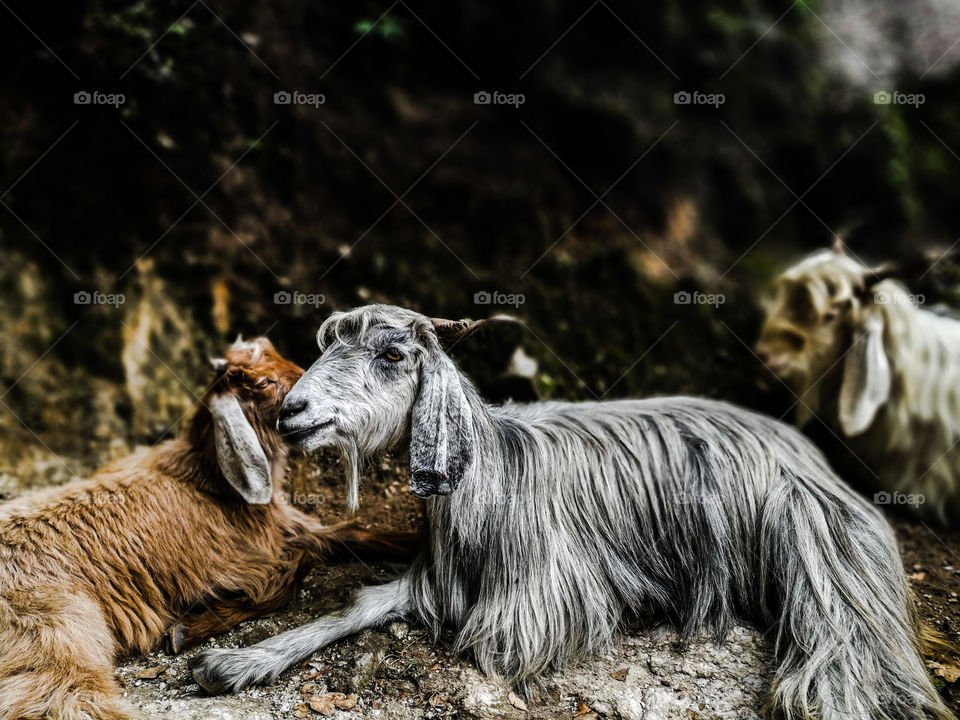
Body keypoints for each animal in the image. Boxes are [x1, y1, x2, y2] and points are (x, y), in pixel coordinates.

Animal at [0, 338, 408, 720]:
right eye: (265, 382)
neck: (208, 480)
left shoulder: (292, 528)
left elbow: (352, 533)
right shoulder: (237, 564)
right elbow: (288, 582)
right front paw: (187, 630)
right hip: (56, 636)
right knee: (67, 700)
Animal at [191, 304, 948, 720]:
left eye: (393, 353)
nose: (293, 412)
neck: (491, 472)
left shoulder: (536, 603)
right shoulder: (436, 576)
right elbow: (358, 605)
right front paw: (239, 661)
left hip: (820, 548)